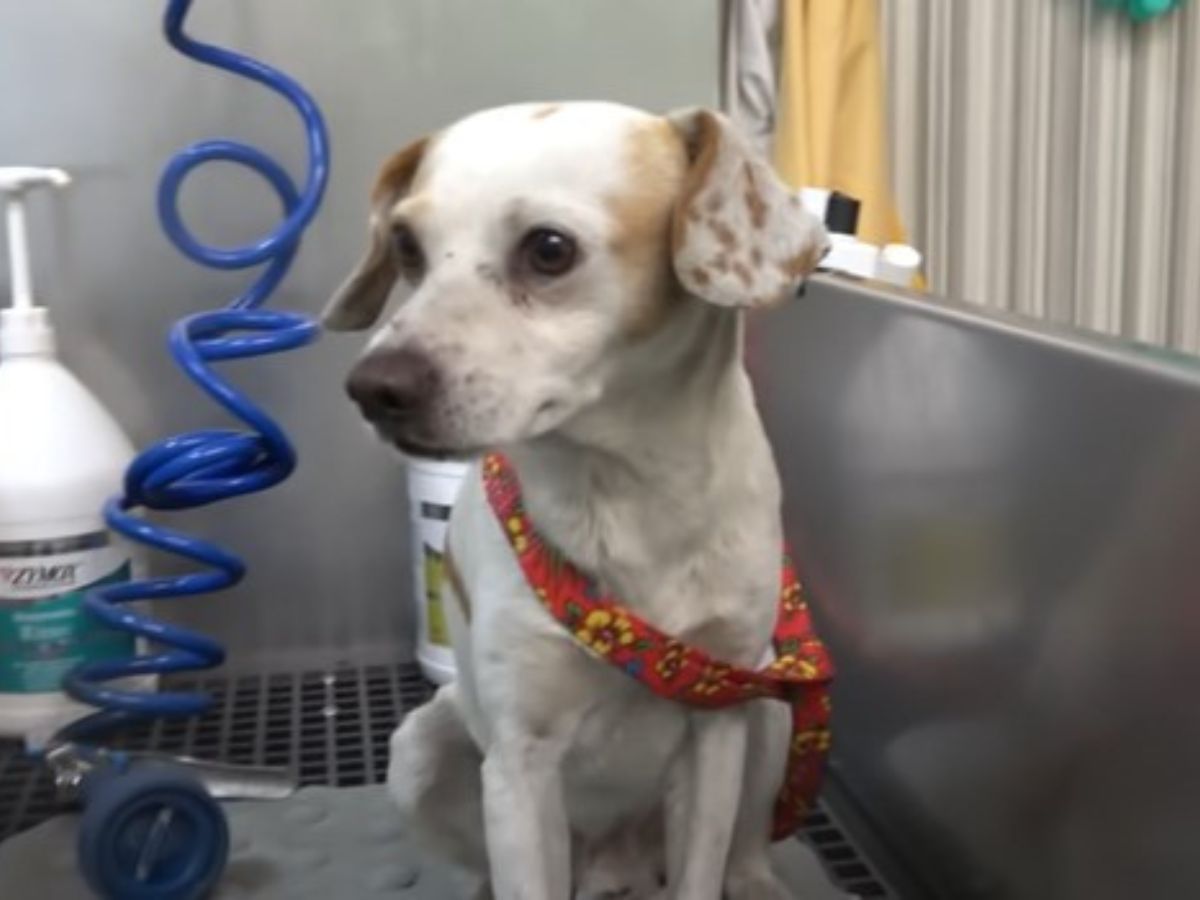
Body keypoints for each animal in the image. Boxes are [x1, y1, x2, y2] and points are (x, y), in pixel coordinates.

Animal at [328, 102, 835, 900]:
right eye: (406, 246)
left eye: (549, 249)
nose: (373, 389)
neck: (624, 493)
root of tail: (612, 866)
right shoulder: (520, 763)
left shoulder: (716, 724)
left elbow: (702, 870)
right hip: (422, 750)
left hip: (770, 712)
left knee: (747, 845)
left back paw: (756, 880)